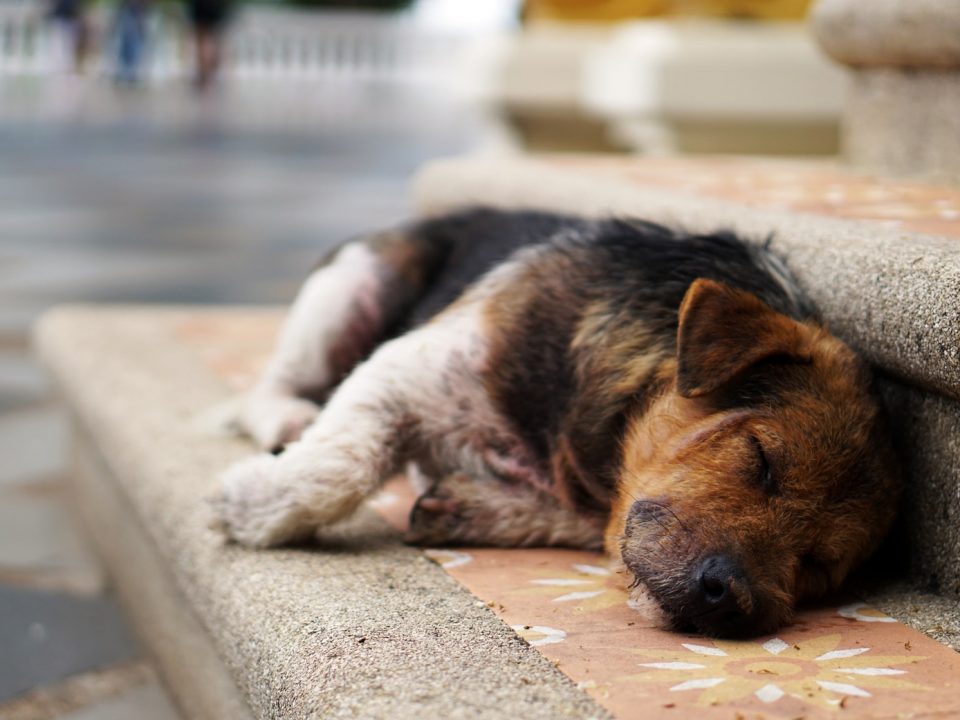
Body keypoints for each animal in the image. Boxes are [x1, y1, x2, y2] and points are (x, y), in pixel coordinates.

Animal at [212, 207, 900, 636]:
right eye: (761, 460)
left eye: (819, 565)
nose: (733, 601)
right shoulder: (409, 367)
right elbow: (342, 463)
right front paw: (254, 506)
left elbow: (583, 521)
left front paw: (469, 506)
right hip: (352, 285)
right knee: (267, 387)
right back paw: (286, 421)